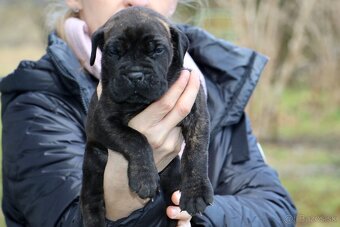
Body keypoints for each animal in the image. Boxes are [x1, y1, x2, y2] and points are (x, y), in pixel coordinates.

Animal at [80, 6, 212, 226]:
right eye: (114, 52)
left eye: (157, 50)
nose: (135, 75)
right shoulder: (103, 121)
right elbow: (135, 139)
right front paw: (145, 178)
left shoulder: (198, 113)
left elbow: (196, 151)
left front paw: (196, 192)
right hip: (93, 162)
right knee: (91, 199)